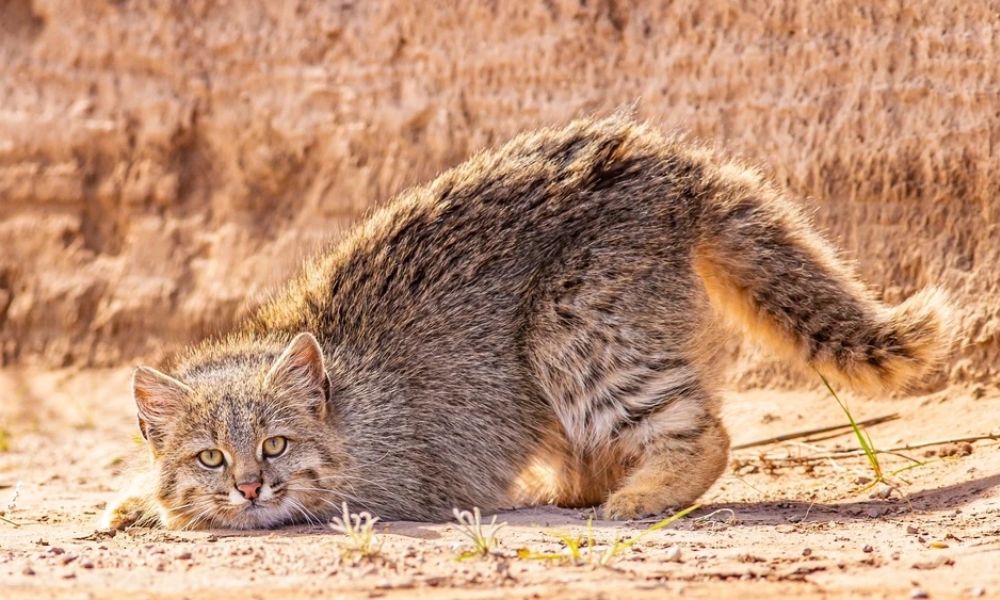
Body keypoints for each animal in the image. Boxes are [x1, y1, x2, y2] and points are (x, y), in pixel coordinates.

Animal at [101, 113, 952, 528]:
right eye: (211, 456)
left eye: (275, 445)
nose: (249, 486)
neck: (344, 403)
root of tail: (679, 164)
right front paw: (141, 500)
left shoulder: (397, 483)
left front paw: (167, 510)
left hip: (571, 325)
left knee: (701, 429)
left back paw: (642, 496)